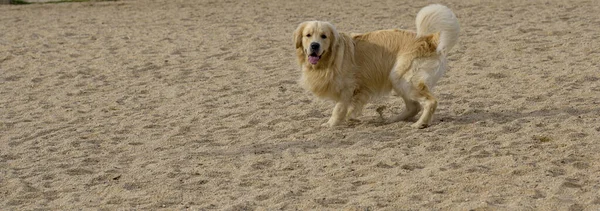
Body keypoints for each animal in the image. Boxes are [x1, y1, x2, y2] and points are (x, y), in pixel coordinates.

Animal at [294, 3, 460, 129]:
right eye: (308, 35)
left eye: (324, 36)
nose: (314, 46)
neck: (331, 59)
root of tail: (429, 39)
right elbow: (352, 107)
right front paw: (351, 117)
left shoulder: (348, 88)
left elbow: (339, 108)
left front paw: (331, 124)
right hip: (397, 80)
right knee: (414, 106)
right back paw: (392, 120)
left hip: (405, 79)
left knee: (430, 102)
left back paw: (420, 124)